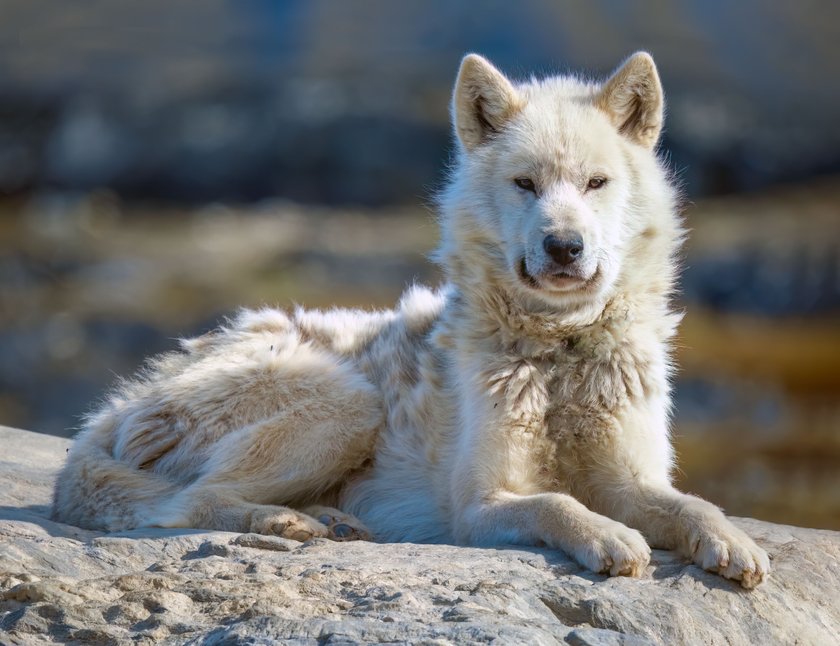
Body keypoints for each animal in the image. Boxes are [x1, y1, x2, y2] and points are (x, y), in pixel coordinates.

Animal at [52, 52, 772, 588]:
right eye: (525, 184)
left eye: (596, 183)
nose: (564, 246)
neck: (559, 354)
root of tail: (119, 407)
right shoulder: (479, 508)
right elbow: (558, 502)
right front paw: (608, 537)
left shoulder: (631, 479)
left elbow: (690, 502)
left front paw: (731, 542)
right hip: (347, 404)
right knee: (191, 501)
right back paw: (289, 523)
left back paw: (329, 520)